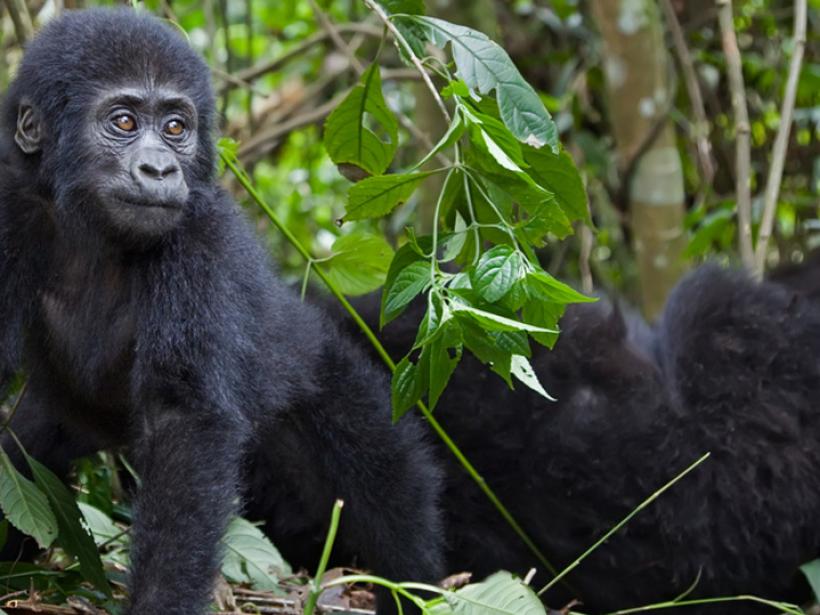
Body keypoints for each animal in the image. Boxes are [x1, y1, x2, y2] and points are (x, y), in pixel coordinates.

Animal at [0, 9, 442, 615]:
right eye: (123, 121)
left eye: (176, 128)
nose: (161, 170)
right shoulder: (9, 206)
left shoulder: (200, 239)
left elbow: (187, 424)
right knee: (26, 451)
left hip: (328, 377)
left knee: (390, 487)